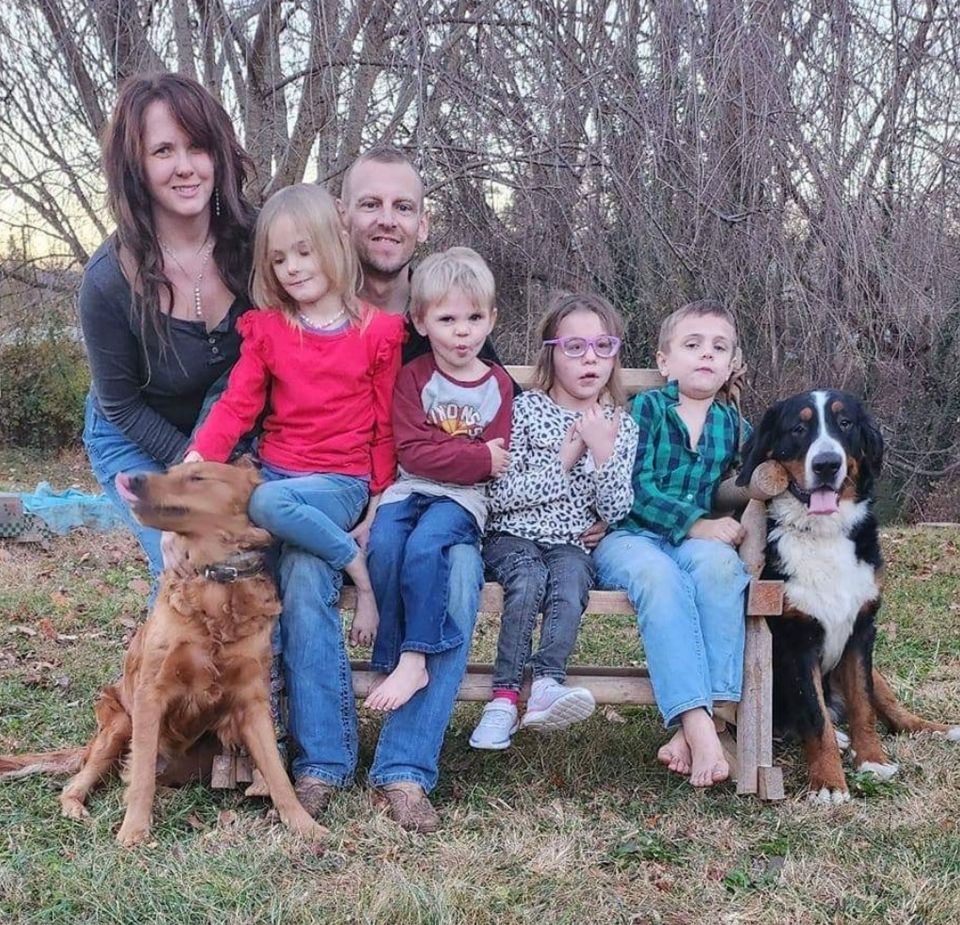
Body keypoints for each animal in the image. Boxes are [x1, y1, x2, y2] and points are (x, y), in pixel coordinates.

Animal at [0, 460, 326, 844]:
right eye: (171, 471)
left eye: (198, 477)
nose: (131, 478)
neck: (217, 583)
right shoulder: (150, 695)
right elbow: (141, 776)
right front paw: (133, 832)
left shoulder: (252, 703)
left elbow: (277, 775)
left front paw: (305, 825)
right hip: (118, 725)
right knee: (89, 779)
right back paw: (77, 807)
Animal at [740, 390, 956, 800]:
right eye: (798, 428)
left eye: (845, 424)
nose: (827, 463)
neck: (823, 535)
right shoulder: (796, 640)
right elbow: (815, 717)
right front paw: (828, 781)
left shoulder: (862, 629)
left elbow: (864, 704)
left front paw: (871, 759)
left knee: (891, 708)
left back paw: (936, 729)